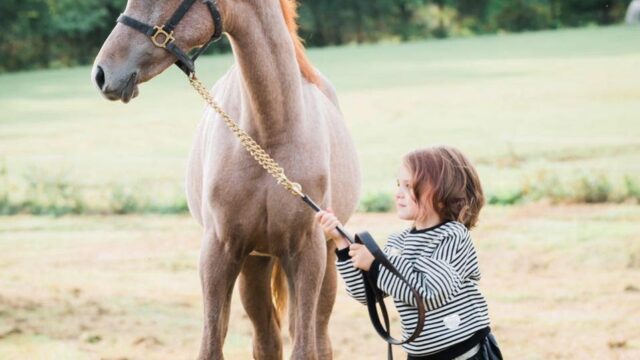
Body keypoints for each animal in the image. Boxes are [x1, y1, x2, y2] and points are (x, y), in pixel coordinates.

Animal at [89, 1, 360, 358]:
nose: (102, 72)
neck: (270, 131)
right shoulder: (219, 251)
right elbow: (211, 345)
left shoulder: (308, 251)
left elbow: (305, 347)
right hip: (255, 263)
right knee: (267, 339)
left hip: (325, 258)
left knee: (318, 338)